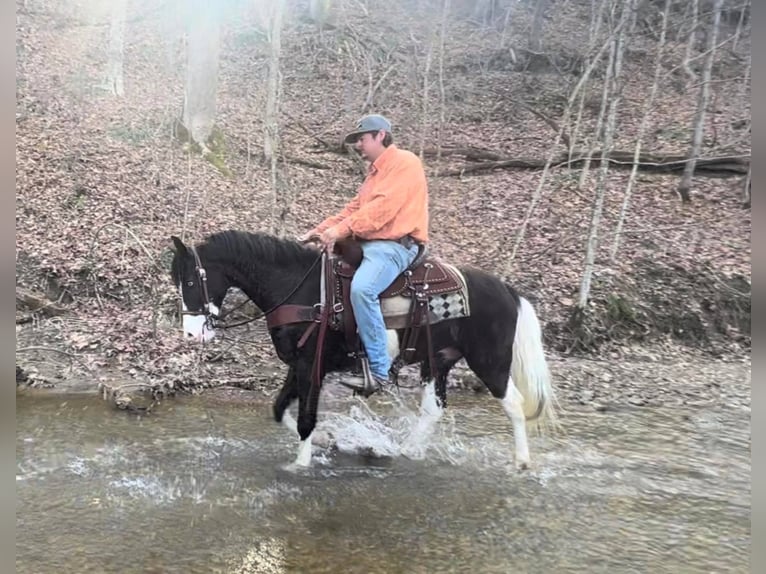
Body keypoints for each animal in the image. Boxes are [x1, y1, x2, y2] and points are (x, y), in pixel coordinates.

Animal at [171, 232, 560, 470]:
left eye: (190, 280)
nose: (190, 333)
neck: (302, 291)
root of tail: (508, 290)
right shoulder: (297, 366)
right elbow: (279, 409)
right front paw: (327, 440)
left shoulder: (312, 366)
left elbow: (305, 419)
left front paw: (300, 464)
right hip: (439, 360)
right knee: (433, 409)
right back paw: (405, 450)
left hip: (489, 361)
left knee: (514, 405)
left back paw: (521, 461)